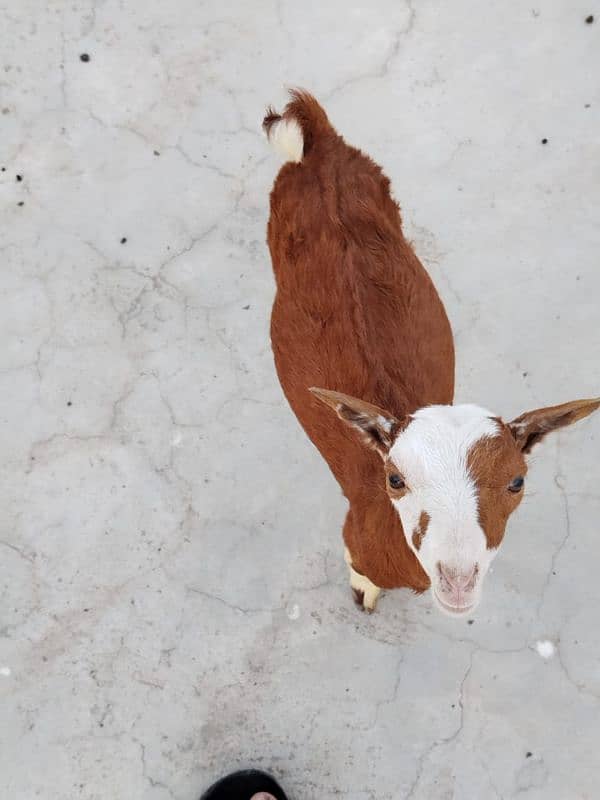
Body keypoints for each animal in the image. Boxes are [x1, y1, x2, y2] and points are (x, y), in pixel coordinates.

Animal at [264, 92, 600, 620]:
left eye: (517, 482)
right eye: (395, 479)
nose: (457, 582)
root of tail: (320, 145)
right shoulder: (357, 537)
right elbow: (361, 572)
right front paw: (363, 594)